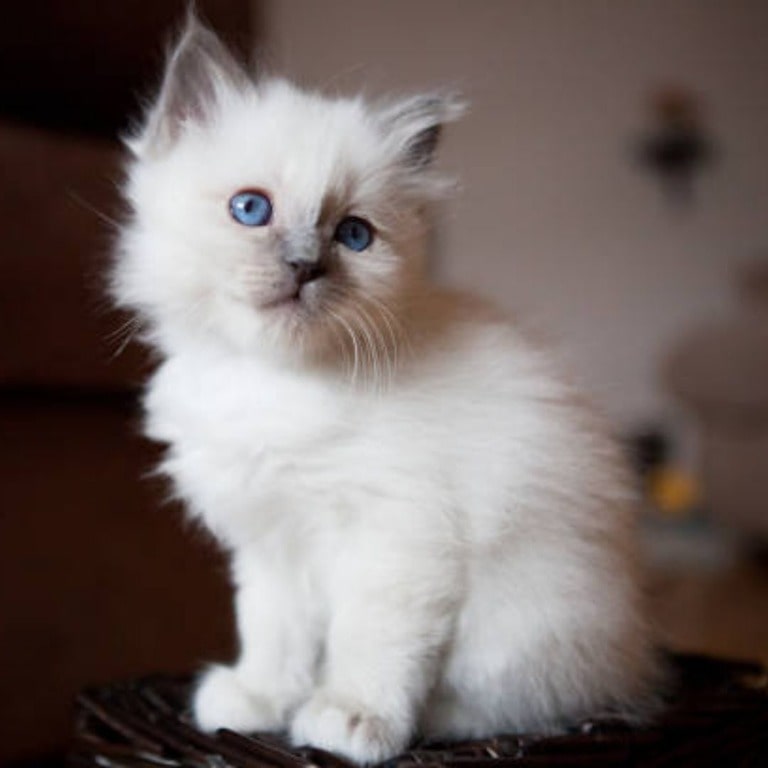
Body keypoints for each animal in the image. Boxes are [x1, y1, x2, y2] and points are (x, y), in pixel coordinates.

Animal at [112, 15, 660, 764]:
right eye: (251, 210)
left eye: (353, 235)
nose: (304, 266)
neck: (272, 382)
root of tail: (635, 656)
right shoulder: (271, 544)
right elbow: (271, 633)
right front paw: (258, 703)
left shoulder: (397, 534)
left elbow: (370, 642)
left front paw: (349, 719)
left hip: (522, 618)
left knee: (530, 704)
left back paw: (437, 719)